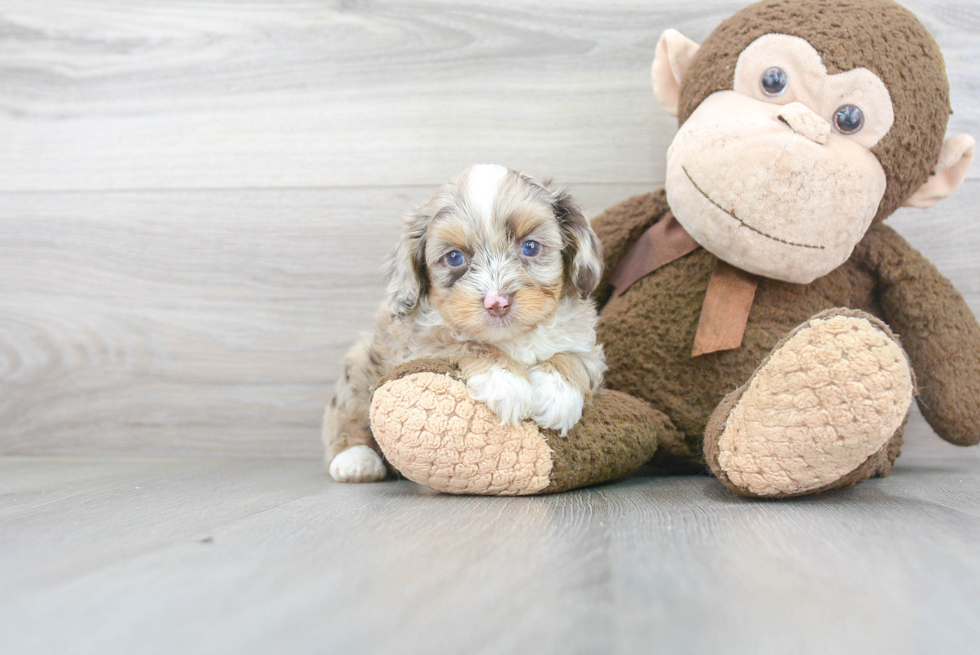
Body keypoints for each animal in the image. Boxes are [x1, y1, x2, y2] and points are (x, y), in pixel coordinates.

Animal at [326, 164, 608, 482]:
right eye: (454, 257)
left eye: (530, 247)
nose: (497, 303)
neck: (511, 338)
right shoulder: (416, 346)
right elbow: (465, 343)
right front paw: (504, 379)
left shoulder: (587, 345)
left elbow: (574, 357)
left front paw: (557, 392)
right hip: (360, 365)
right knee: (346, 415)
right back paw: (354, 459)